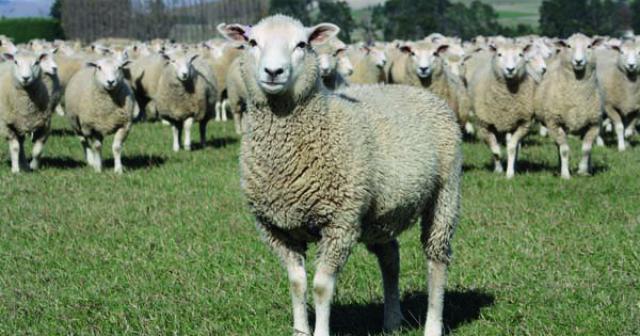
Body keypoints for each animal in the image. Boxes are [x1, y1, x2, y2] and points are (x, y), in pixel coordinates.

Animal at [219, 15, 460, 336]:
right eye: (252, 42)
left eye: (302, 44)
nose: (273, 72)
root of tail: (420, 92)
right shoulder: (276, 229)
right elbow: (296, 283)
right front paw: (300, 330)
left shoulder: (339, 224)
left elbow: (321, 287)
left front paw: (320, 331)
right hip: (379, 215)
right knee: (390, 258)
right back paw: (392, 321)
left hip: (445, 194)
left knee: (436, 261)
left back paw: (432, 325)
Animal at [468, 41, 536, 178]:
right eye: (499, 54)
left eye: (520, 54)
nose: (510, 69)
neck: (506, 99)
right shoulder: (484, 125)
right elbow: (495, 150)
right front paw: (498, 169)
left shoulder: (524, 124)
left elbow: (511, 148)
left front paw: (510, 173)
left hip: (511, 124)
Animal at [536, 34, 604, 180]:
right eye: (568, 46)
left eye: (589, 46)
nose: (578, 61)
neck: (577, 95)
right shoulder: (555, 123)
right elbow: (564, 150)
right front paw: (565, 174)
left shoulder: (594, 123)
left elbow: (586, 149)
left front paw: (583, 171)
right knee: (559, 146)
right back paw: (560, 166)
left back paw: (589, 169)